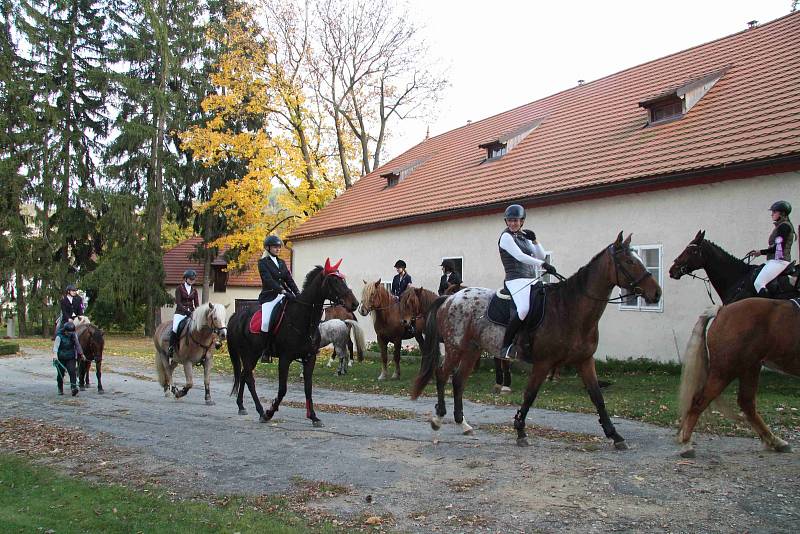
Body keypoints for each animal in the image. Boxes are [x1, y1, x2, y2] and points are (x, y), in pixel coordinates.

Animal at [228, 260, 360, 428]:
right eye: (334, 281)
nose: (355, 303)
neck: (303, 319)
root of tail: (237, 315)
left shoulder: (310, 358)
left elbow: (308, 388)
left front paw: (313, 417)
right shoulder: (285, 359)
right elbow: (282, 389)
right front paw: (270, 412)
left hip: (252, 355)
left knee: (244, 375)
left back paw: (241, 406)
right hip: (249, 353)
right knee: (249, 378)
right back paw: (261, 411)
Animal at [412, 233, 664, 448]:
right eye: (629, 262)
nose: (656, 293)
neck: (569, 308)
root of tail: (450, 298)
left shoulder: (584, 361)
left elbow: (597, 397)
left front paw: (615, 435)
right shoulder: (544, 362)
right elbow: (530, 395)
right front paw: (520, 430)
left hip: (472, 349)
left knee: (458, 380)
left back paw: (462, 423)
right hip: (456, 346)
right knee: (442, 374)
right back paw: (438, 418)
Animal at [676, 300, 800, 458]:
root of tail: (722, 311)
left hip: (749, 368)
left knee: (746, 403)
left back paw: (775, 441)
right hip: (725, 370)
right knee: (700, 401)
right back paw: (686, 444)